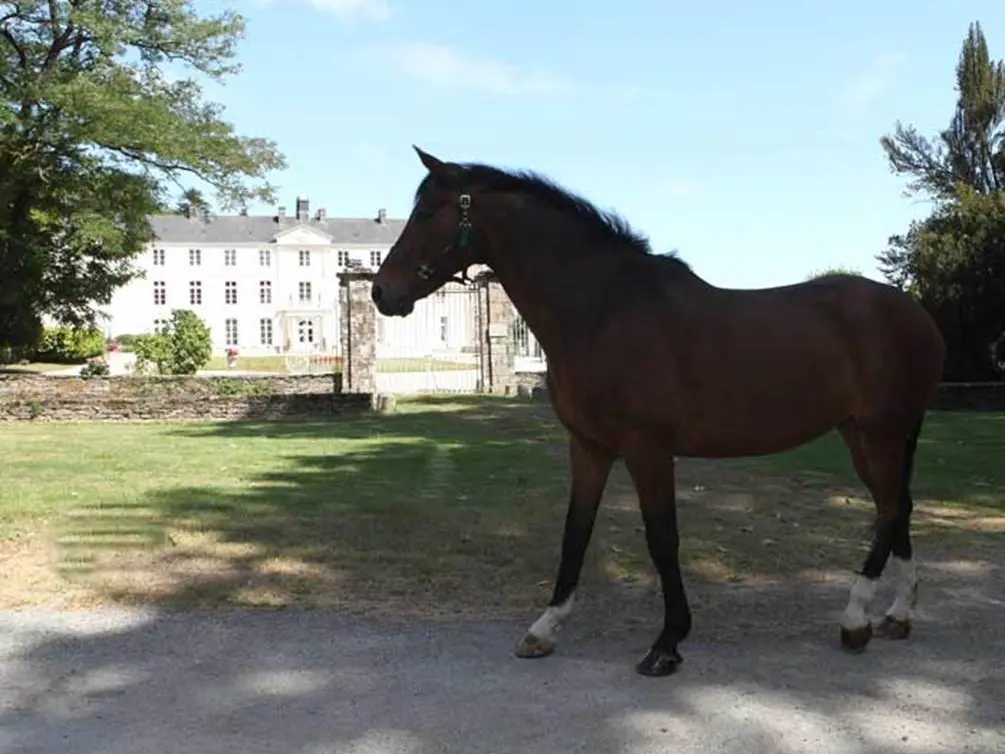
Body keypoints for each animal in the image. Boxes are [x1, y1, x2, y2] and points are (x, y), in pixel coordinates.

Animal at [373, 145, 944, 679]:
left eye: (428, 212)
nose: (382, 292)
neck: (602, 312)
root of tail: (916, 313)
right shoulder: (589, 447)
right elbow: (575, 531)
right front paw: (545, 627)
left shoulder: (647, 450)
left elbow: (662, 539)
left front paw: (667, 643)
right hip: (860, 435)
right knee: (897, 508)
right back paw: (897, 615)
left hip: (881, 433)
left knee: (889, 510)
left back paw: (855, 619)